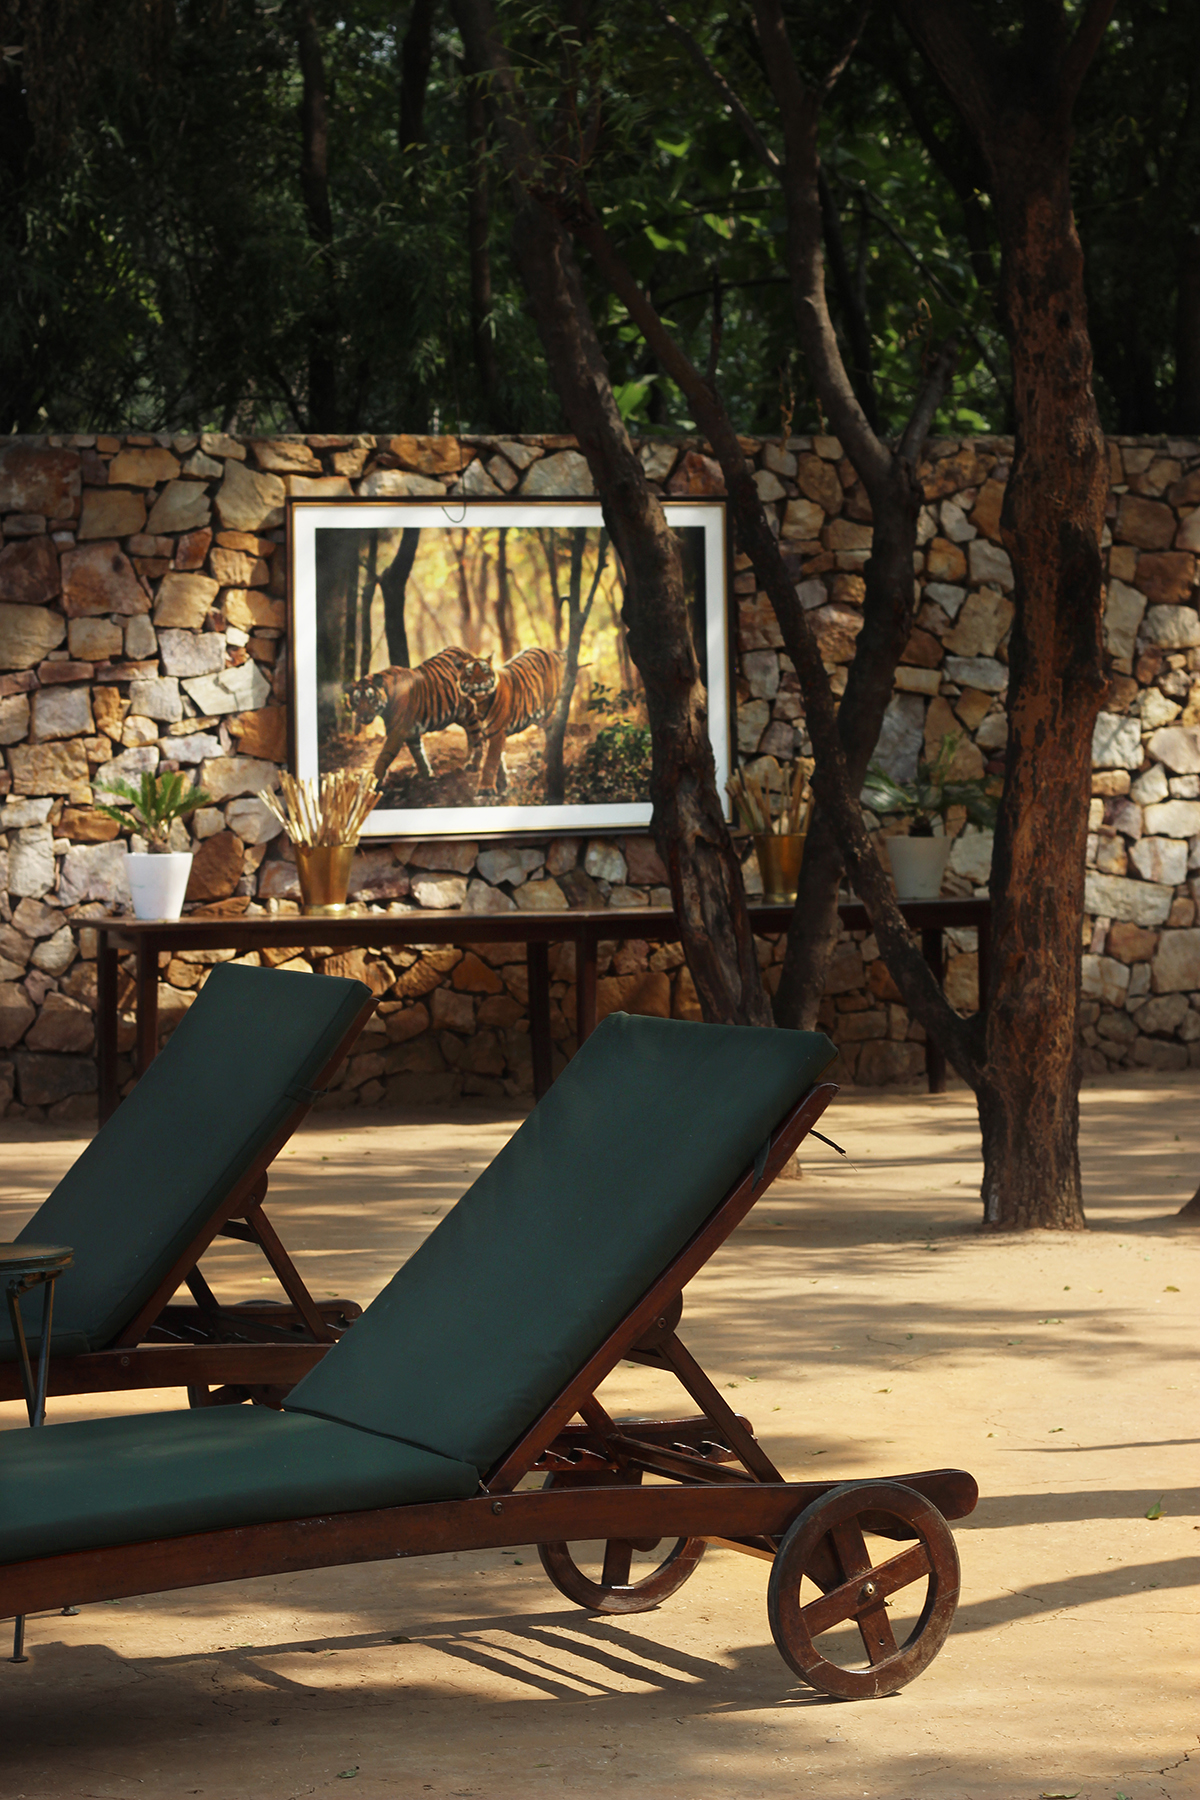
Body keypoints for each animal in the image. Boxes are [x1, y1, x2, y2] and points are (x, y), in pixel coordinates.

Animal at [341, 648, 482, 788]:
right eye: (357, 700)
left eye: (371, 699)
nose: (364, 716)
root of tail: (466, 652)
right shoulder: (411, 732)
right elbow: (418, 753)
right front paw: (426, 774)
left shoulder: (397, 731)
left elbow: (384, 756)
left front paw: (373, 781)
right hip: (460, 715)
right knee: (470, 735)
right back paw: (467, 760)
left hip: (469, 711)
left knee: (477, 736)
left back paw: (473, 765)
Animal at [464, 644, 572, 792]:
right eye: (469, 672)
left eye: (485, 670)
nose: (479, 683)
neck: (480, 702)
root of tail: (553, 651)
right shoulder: (487, 732)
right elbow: (496, 759)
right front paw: (502, 784)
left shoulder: (497, 732)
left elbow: (491, 760)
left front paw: (486, 789)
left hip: (548, 710)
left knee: (553, 730)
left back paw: (548, 758)